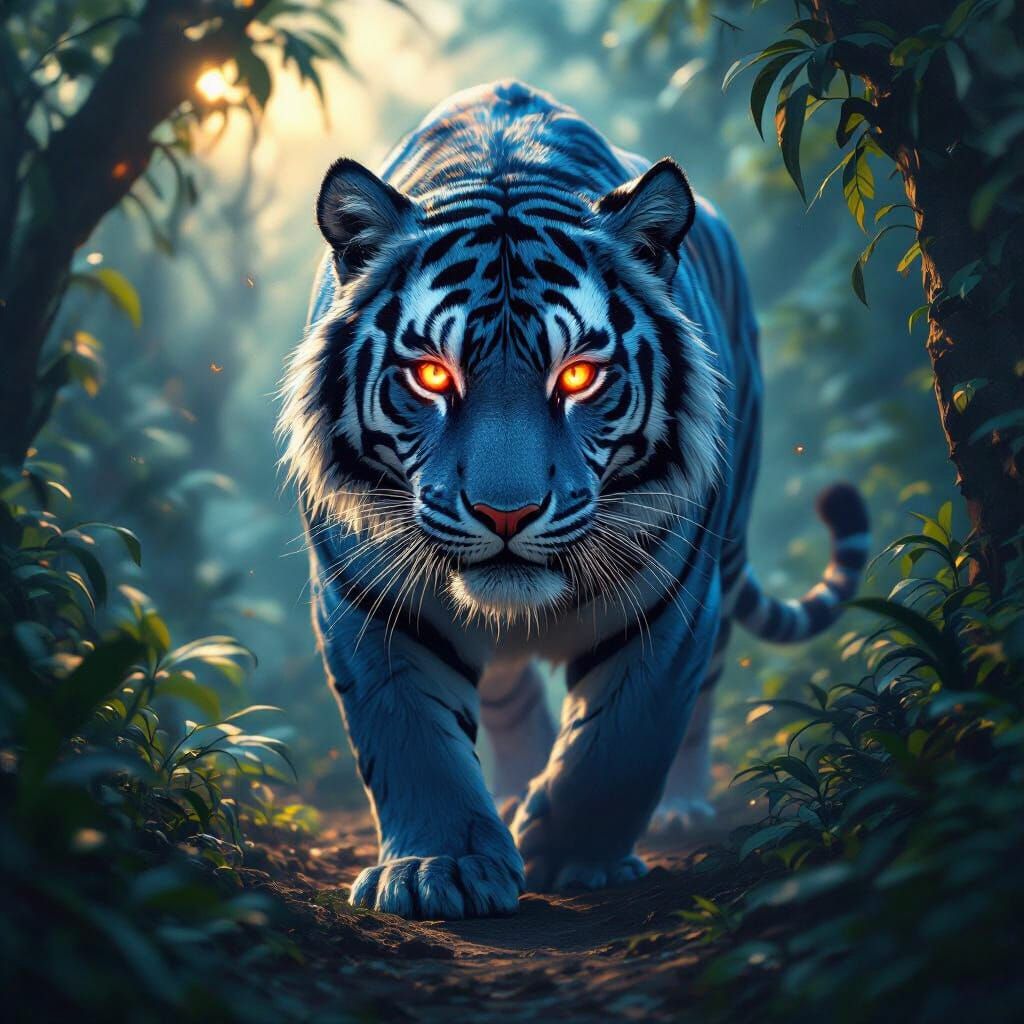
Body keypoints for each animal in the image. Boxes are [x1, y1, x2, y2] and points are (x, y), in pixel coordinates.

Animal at [278, 80, 869, 920]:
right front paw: (439, 867)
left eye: (579, 376)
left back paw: (677, 808)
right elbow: (411, 738)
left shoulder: (674, 599)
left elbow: (624, 740)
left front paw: (571, 856)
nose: (506, 515)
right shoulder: (369, 595)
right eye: (432, 375)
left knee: (702, 695)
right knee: (510, 698)